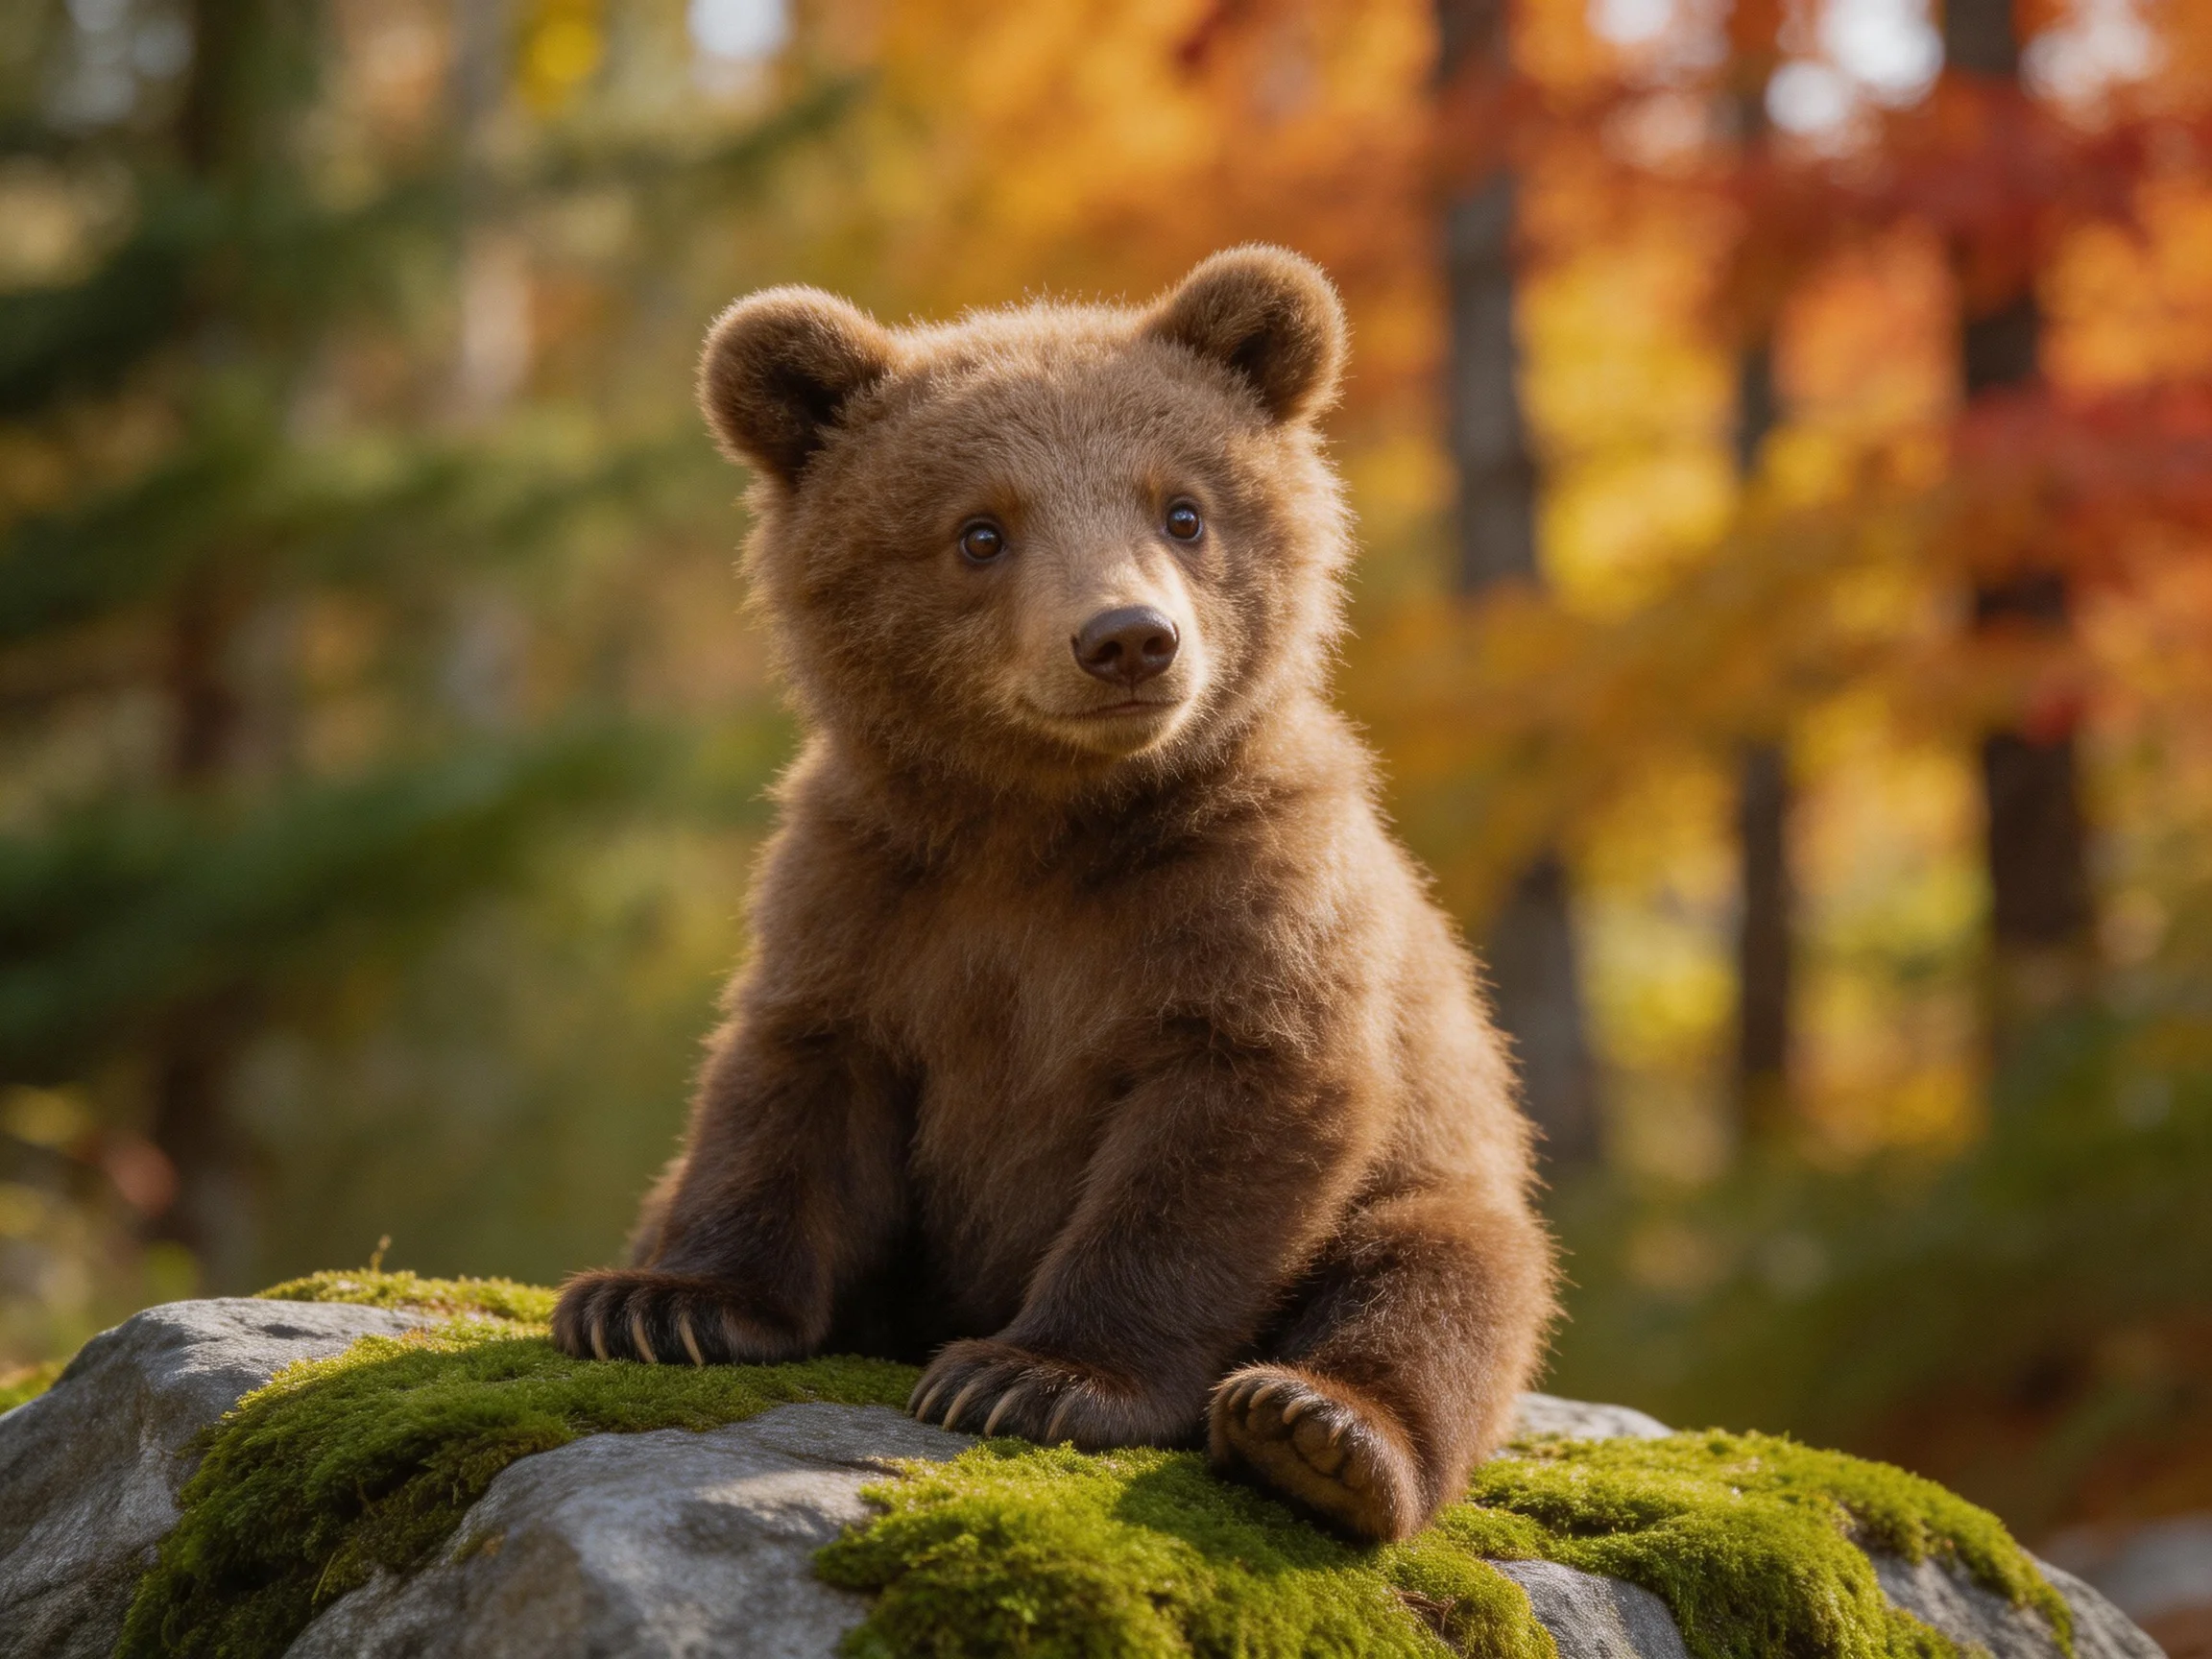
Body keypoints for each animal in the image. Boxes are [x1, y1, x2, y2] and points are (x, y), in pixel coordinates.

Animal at [549, 246, 1556, 1542]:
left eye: (1183, 509)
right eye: (981, 531)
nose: (1128, 639)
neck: (1042, 822)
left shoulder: (1243, 898)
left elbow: (1223, 1126)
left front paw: (1034, 1375)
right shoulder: (874, 889)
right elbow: (791, 1082)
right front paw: (658, 1303)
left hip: (1440, 1171)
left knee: (1445, 1278)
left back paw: (1318, 1429)